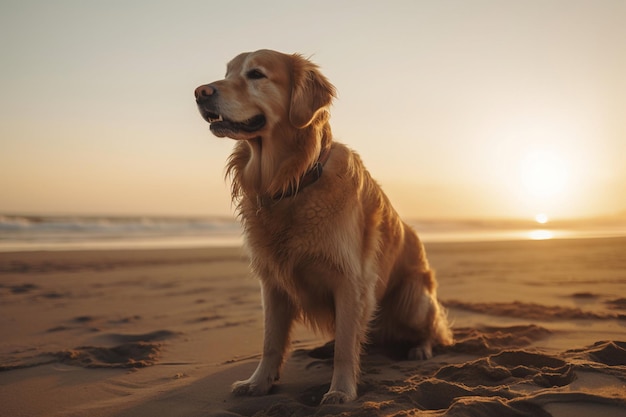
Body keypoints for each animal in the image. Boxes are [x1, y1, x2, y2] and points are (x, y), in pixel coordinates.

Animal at [193, 48, 450, 404]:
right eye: (228, 72)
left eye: (256, 74)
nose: (200, 92)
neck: (293, 181)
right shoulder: (272, 283)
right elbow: (270, 342)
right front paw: (259, 383)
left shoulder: (351, 280)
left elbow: (346, 345)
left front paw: (341, 391)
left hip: (413, 298)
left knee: (432, 329)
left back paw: (420, 349)